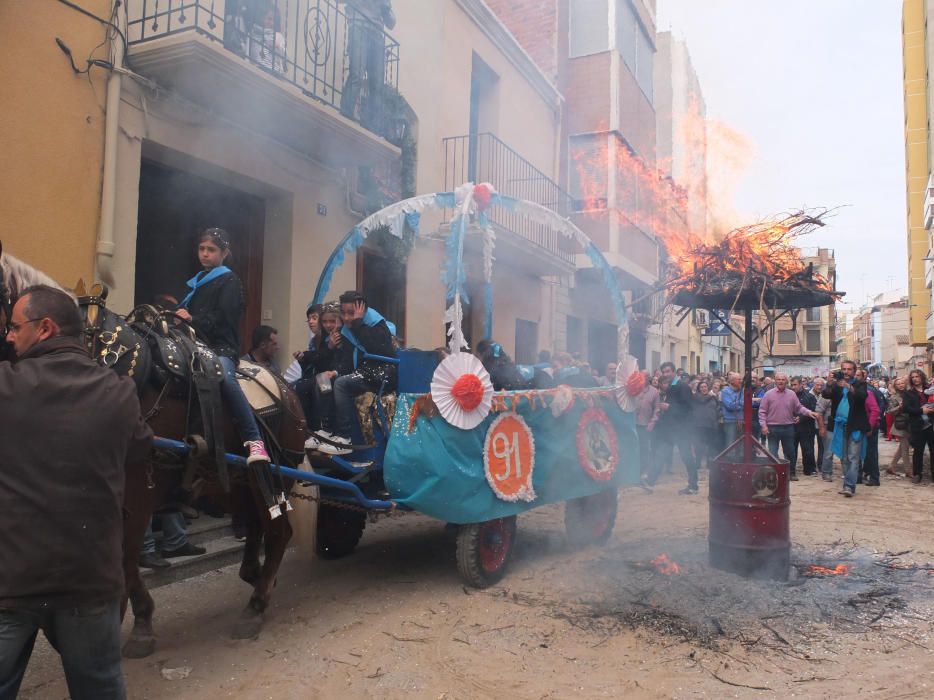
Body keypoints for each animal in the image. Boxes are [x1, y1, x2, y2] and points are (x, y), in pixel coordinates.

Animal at [1, 242, 312, 656]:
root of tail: (291, 395)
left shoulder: (136, 492)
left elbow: (125, 559)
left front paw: (135, 625)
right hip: (236, 485)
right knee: (257, 526)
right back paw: (254, 574)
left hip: (271, 478)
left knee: (278, 533)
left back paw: (256, 605)